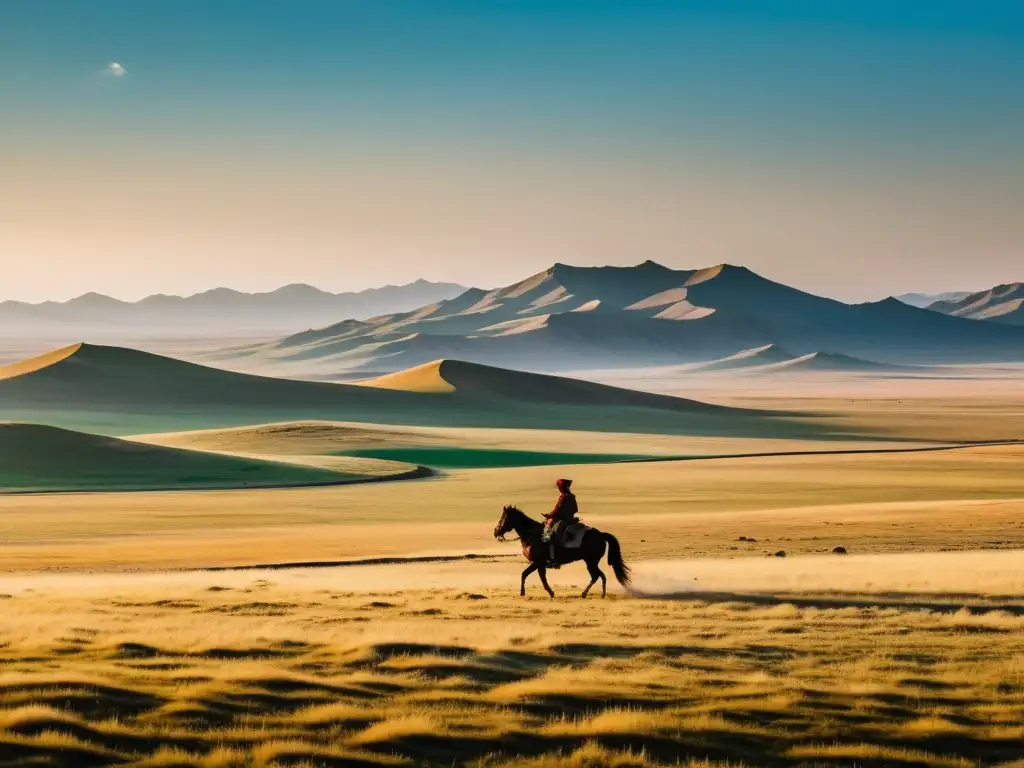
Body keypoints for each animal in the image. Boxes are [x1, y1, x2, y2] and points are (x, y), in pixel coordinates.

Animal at [491, 507, 626, 598]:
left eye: (503, 518)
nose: (496, 532)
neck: (532, 535)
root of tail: (601, 534)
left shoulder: (538, 562)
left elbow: (538, 578)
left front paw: (549, 593)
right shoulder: (538, 563)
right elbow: (528, 575)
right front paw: (524, 592)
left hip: (591, 562)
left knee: (596, 576)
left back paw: (585, 594)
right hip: (591, 562)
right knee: (600, 575)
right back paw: (599, 594)